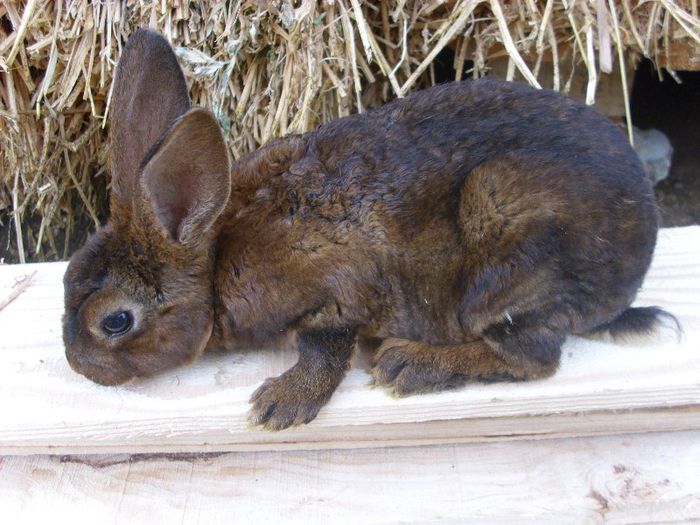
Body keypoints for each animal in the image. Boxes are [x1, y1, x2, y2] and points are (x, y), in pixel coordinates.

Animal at [64, 29, 672, 430]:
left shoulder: (331, 295)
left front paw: (278, 405)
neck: (216, 259)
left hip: (508, 251)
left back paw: (410, 364)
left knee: (534, 356)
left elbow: (326, 351)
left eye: (115, 322)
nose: (77, 365)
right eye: (66, 279)